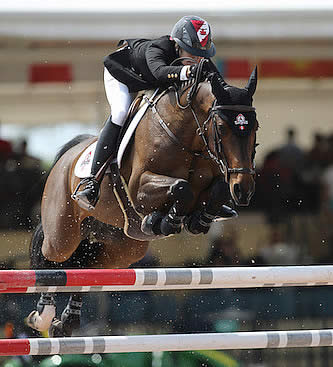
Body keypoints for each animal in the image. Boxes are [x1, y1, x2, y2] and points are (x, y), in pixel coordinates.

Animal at [27, 65, 258, 336]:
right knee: (51, 257)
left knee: (85, 267)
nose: (244, 190)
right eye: (221, 128)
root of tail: (67, 157)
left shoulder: (217, 178)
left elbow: (217, 188)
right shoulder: (139, 187)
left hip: (121, 249)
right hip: (63, 233)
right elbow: (181, 187)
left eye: (255, 127)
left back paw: (66, 321)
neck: (187, 136)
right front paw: (167, 221)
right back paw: (43, 315)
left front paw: (196, 220)